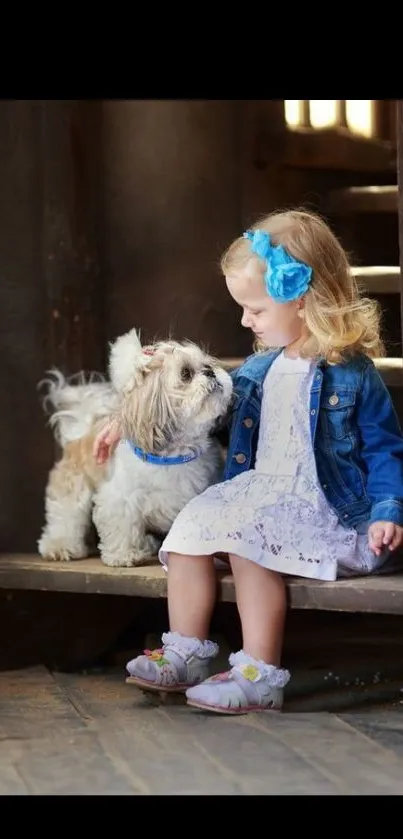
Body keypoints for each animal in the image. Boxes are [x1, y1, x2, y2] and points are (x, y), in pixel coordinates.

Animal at [38, 332, 234, 568]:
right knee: (65, 518)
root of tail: (83, 428)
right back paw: (60, 547)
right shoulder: (120, 499)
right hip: (73, 489)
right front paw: (124, 556)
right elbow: (122, 526)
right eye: (185, 374)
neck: (174, 457)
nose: (210, 372)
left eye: (207, 365)